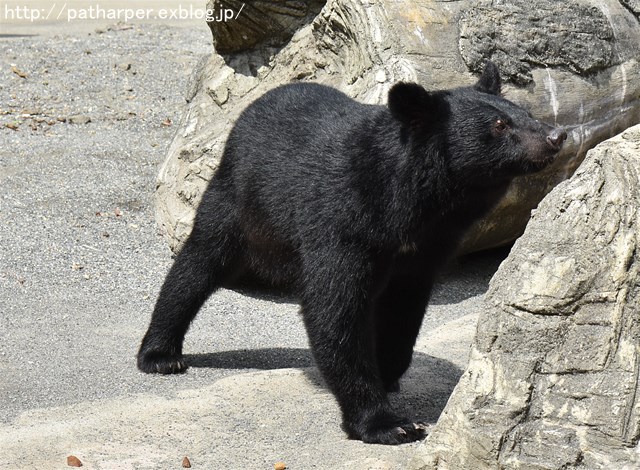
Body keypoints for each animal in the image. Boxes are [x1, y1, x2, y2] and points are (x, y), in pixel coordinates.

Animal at [139, 62, 564, 444]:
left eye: (527, 114)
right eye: (500, 125)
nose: (556, 135)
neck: (416, 204)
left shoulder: (426, 247)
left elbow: (403, 310)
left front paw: (389, 372)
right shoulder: (344, 221)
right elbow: (335, 309)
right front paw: (388, 424)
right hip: (240, 199)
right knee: (199, 263)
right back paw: (161, 353)